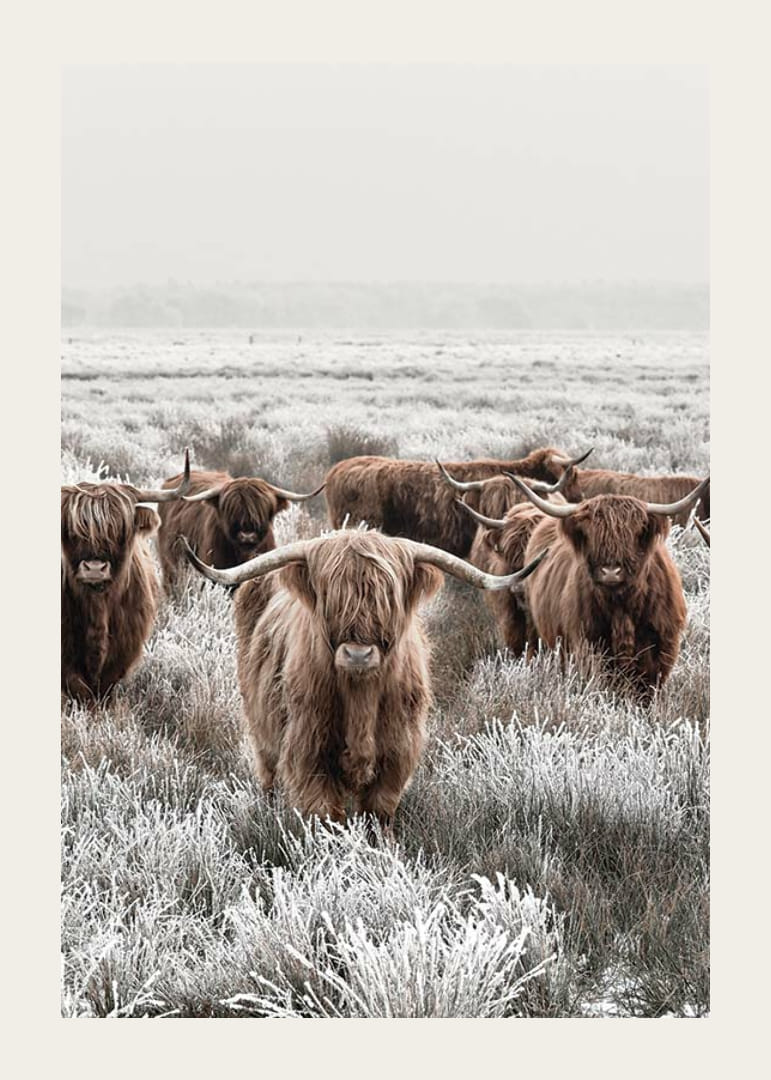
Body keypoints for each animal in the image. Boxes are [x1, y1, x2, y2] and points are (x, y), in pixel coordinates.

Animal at [181, 529, 548, 825]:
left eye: (387, 598)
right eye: (331, 598)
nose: (358, 655)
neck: (361, 697)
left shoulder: (397, 753)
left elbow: (378, 813)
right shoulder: (307, 752)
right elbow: (327, 816)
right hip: (262, 731)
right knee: (268, 774)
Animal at [508, 474, 710, 698]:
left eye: (634, 533)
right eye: (591, 534)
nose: (611, 572)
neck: (621, 607)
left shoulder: (660, 649)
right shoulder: (588, 645)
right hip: (535, 629)